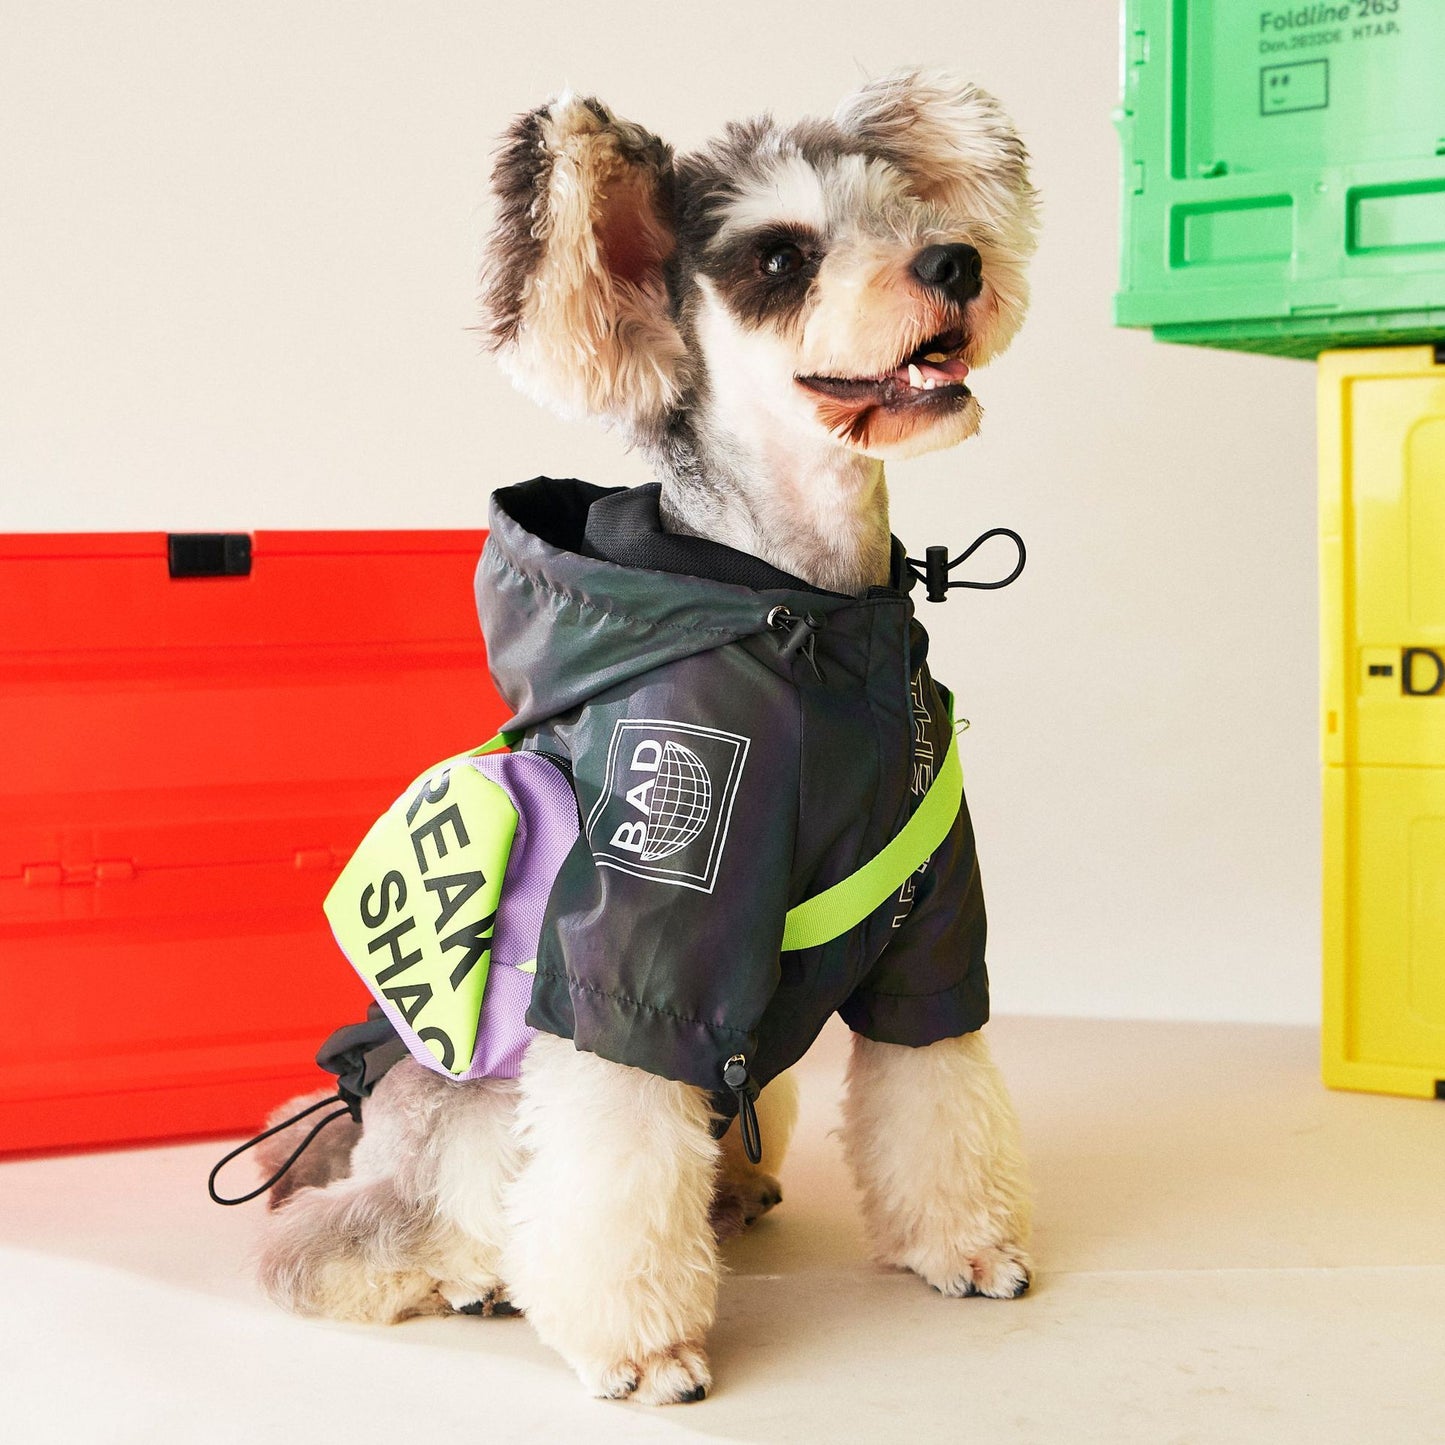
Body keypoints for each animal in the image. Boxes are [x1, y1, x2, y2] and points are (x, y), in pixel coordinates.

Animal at [257, 67, 1040, 1398]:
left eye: (905, 213)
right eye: (778, 258)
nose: (954, 260)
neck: (813, 608)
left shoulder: (930, 914)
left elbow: (931, 1080)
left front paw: (965, 1242)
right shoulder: (645, 929)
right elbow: (613, 1152)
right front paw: (642, 1343)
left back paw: (733, 1187)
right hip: (459, 1109)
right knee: (377, 1229)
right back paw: (467, 1273)